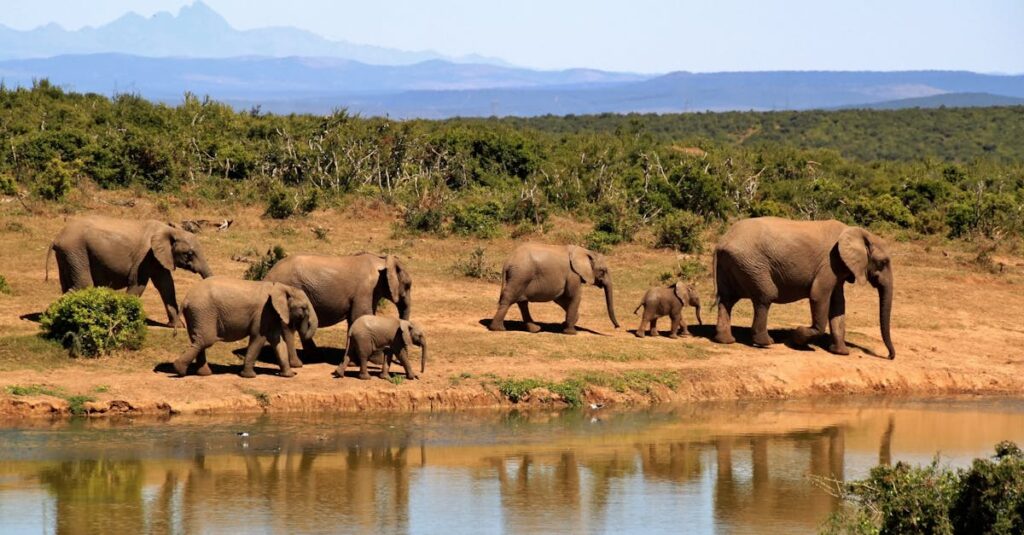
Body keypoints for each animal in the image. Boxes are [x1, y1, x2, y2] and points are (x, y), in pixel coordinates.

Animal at [50, 215, 215, 323]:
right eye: (189, 254)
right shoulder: (145, 256)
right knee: (83, 285)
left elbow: (166, 285)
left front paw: (177, 326)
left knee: (69, 285)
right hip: (76, 251)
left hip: (68, 255)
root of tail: (57, 238)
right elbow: (138, 284)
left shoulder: (158, 258)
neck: (170, 230)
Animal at [172, 276, 317, 377]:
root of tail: (186, 299)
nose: (297, 371)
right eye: (303, 308)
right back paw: (179, 369)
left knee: (198, 340)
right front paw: (249, 376)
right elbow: (258, 338)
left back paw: (203, 374)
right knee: (205, 340)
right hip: (203, 311)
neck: (281, 287)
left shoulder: (271, 314)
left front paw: (288, 375)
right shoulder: (263, 312)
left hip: (196, 314)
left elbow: (277, 341)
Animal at [264, 251, 411, 352]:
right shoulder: (365, 290)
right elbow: (359, 316)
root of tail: (268, 275)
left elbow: (355, 319)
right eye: (408, 285)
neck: (382, 260)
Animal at [489, 242, 622, 332]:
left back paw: (535, 329)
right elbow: (574, 296)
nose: (617, 327)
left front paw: (566, 323)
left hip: (520, 277)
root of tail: (507, 262)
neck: (586, 251)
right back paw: (498, 329)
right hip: (520, 275)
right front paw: (571, 332)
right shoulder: (573, 274)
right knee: (509, 299)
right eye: (603, 271)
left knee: (522, 302)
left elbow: (561, 298)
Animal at [712, 216, 897, 358]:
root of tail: (721, 242)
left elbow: (838, 305)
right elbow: (819, 296)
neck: (857, 232)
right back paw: (766, 342)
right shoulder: (829, 263)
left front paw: (841, 353)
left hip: (733, 264)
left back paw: (726, 340)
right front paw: (797, 337)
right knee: (766, 295)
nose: (889, 356)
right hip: (751, 264)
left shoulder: (838, 268)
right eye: (883, 262)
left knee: (727, 299)